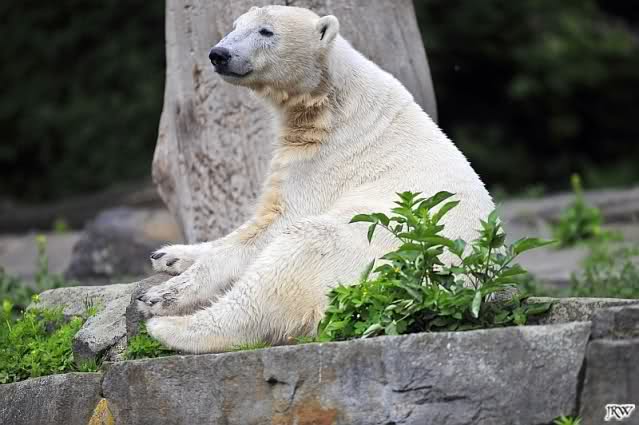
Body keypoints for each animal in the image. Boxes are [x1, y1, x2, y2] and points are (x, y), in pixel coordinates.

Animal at [138, 5, 494, 353]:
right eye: (235, 26)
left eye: (266, 31)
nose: (219, 54)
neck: (329, 101)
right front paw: (169, 255)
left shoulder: (331, 158)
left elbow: (274, 225)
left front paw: (163, 293)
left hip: (372, 261)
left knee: (295, 254)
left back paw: (168, 326)